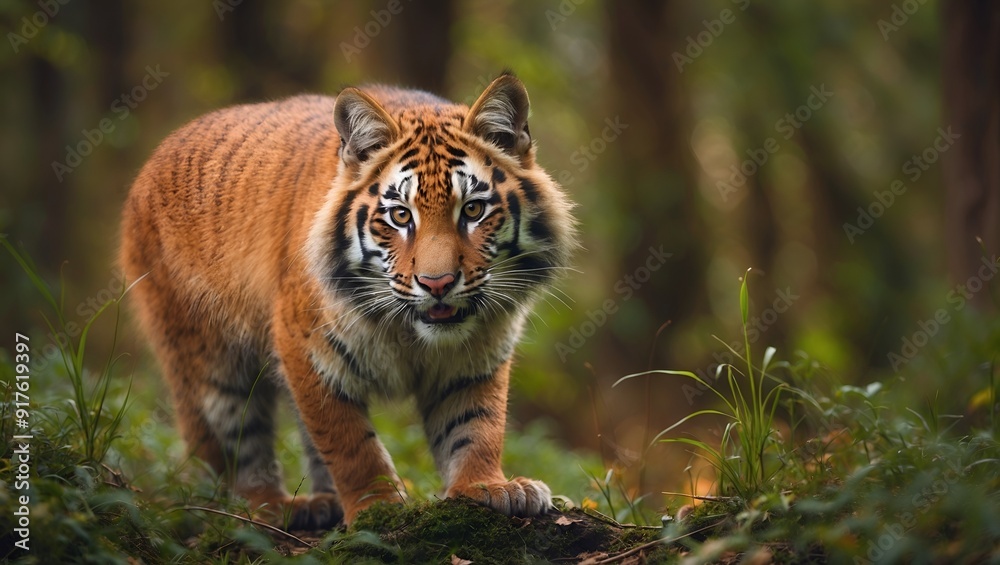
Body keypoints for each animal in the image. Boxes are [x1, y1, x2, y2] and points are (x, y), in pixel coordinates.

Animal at [119, 73, 576, 529]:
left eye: (474, 210)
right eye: (401, 216)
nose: (438, 283)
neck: (409, 332)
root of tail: (156, 156)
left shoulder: (476, 358)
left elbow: (475, 426)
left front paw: (485, 487)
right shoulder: (307, 349)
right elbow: (350, 443)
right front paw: (379, 510)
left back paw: (322, 502)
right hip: (210, 358)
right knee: (235, 444)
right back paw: (272, 506)